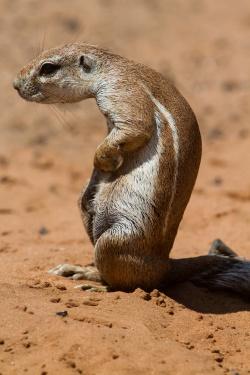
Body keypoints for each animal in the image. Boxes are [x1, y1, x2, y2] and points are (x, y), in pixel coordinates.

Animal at [13, 43, 250, 296]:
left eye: (48, 68)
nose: (15, 84)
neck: (112, 66)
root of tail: (164, 265)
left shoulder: (123, 91)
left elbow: (135, 128)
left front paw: (104, 162)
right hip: (89, 216)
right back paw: (83, 270)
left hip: (115, 241)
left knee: (128, 284)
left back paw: (95, 284)